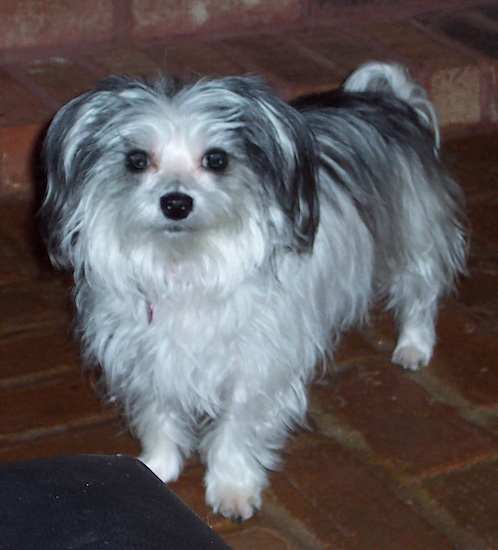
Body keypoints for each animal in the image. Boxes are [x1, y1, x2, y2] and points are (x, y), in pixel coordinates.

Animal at [40, 62, 466, 524]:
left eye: (216, 159)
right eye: (136, 161)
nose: (176, 203)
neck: (185, 265)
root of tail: (383, 100)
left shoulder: (256, 367)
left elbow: (235, 431)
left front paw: (232, 488)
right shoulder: (148, 358)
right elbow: (159, 415)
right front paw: (156, 468)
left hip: (414, 239)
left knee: (421, 292)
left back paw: (413, 347)